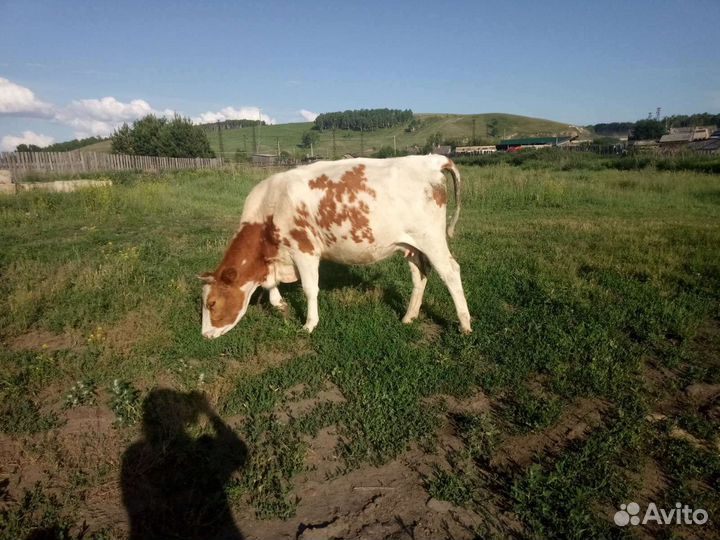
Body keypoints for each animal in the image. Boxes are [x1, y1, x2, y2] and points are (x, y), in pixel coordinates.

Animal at [199, 155, 471, 338]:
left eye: (211, 303)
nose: (204, 335)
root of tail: (431, 159)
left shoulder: (304, 249)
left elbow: (310, 289)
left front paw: (309, 324)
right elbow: (269, 283)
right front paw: (279, 303)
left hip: (431, 238)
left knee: (451, 272)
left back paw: (465, 324)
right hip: (411, 245)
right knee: (420, 275)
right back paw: (408, 317)